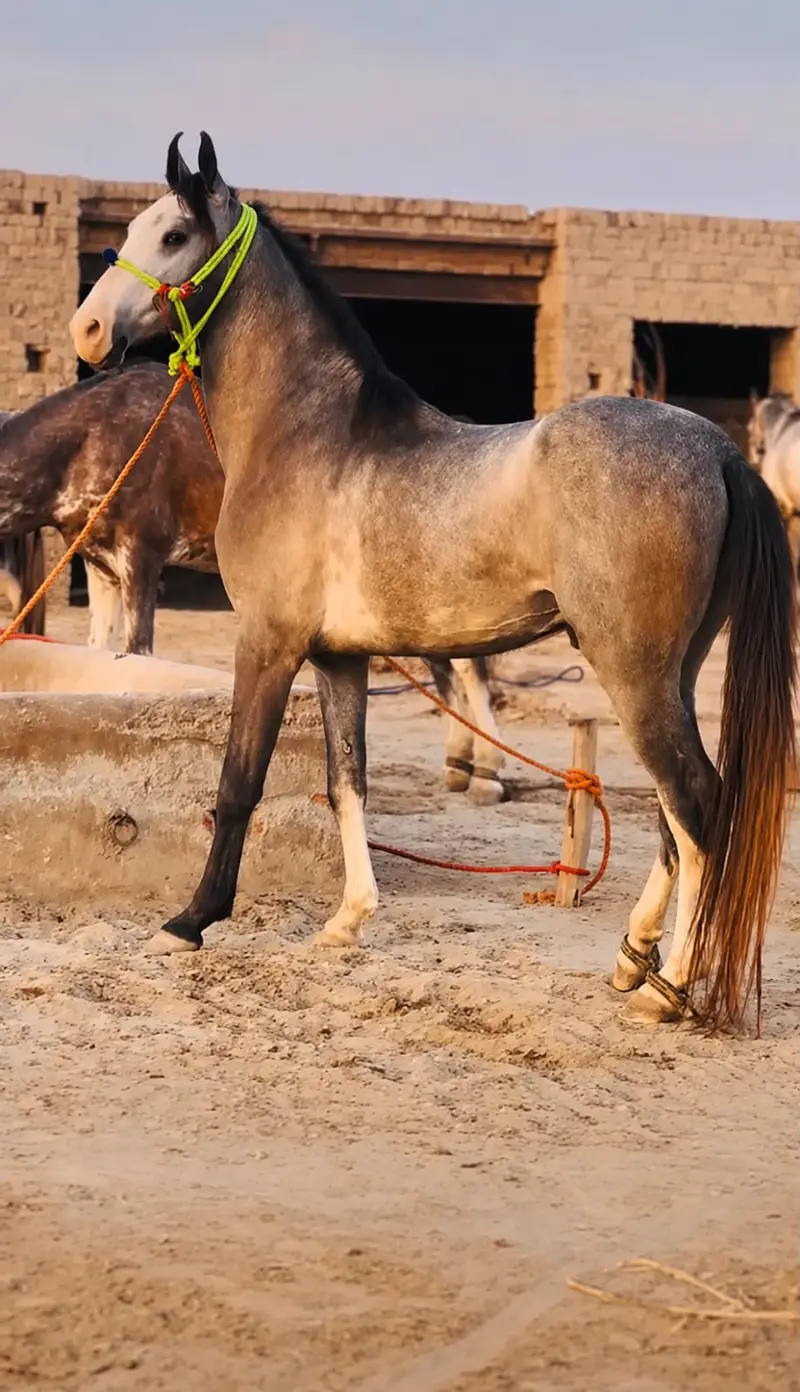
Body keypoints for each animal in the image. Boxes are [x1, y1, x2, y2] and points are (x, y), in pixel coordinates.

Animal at [0, 368, 506, 800]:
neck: (92, 438)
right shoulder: (100, 567)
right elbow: (102, 654)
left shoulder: (141, 557)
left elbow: (138, 652)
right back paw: (459, 764)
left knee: (468, 668)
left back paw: (488, 774)